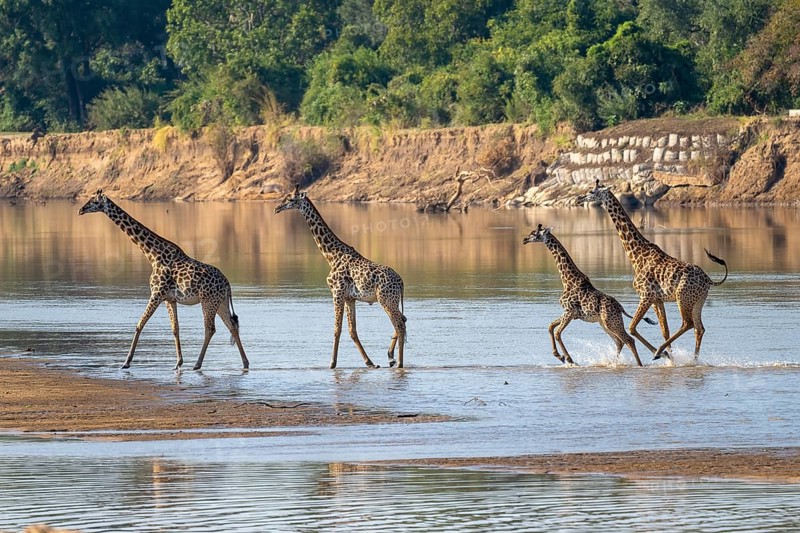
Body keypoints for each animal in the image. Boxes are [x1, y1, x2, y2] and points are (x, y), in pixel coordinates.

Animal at [78, 190, 249, 371]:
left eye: (94, 201)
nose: (80, 210)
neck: (152, 255)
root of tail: (227, 285)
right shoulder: (169, 299)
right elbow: (175, 329)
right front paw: (178, 362)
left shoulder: (156, 294)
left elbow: (139, 324)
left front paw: (126, 362)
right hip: (220, 302)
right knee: (232, 326)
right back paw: (245, 363)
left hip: (208, 301)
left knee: (210, 329)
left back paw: (197, 364)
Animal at [275, 185, 407, 369]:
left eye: (291, 199)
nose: (277, 208)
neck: (331, 255)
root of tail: (401, 282)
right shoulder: (350, 298)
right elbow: (352, 330)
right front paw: (369, 362)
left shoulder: (336, 292)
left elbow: (337, 329)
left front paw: (332, 363)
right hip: (391, 300)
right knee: (403, 320)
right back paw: (391, 357)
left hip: (386, 300)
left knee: (400, 324)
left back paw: (398, 362)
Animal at [523, 224, 648, 366]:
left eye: (535, 234)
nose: (524, 239)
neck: (567, 280)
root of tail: (620, 308)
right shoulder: (570, 313)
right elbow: (550, 326)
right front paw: (559, 355)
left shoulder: (569, 312)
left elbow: (557, 333)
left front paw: (569, 359)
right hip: (604, 323)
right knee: (619, 341)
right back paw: (613, 363)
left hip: (611, 322)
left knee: (628, 340)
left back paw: (639, 365)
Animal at [579, 180, 728, 360]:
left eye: (592, 191)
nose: (579, 198)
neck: (636, 255)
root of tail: (708, 280)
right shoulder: (657, 299)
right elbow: (664, 330)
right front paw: (670, 358)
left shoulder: (646, 295)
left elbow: (632, 327)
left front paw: (662, 353)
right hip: (698, 301)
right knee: (699, 328)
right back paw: (693, 359)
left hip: (683, 297)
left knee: (688, 323)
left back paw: (660, 352)